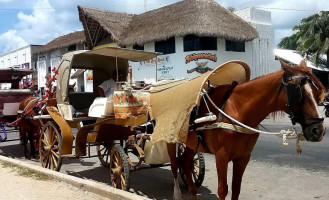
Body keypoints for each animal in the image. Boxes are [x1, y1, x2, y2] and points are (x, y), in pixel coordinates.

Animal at [168, 60, 324, 199]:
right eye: (298, 92)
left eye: (317, 93)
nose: (319, 131)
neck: (236, 110)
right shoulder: (221, 156)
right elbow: (223, 190)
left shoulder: (243, 157)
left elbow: (236, 189)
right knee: (175, 164)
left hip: (191, 143)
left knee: (185, 163)